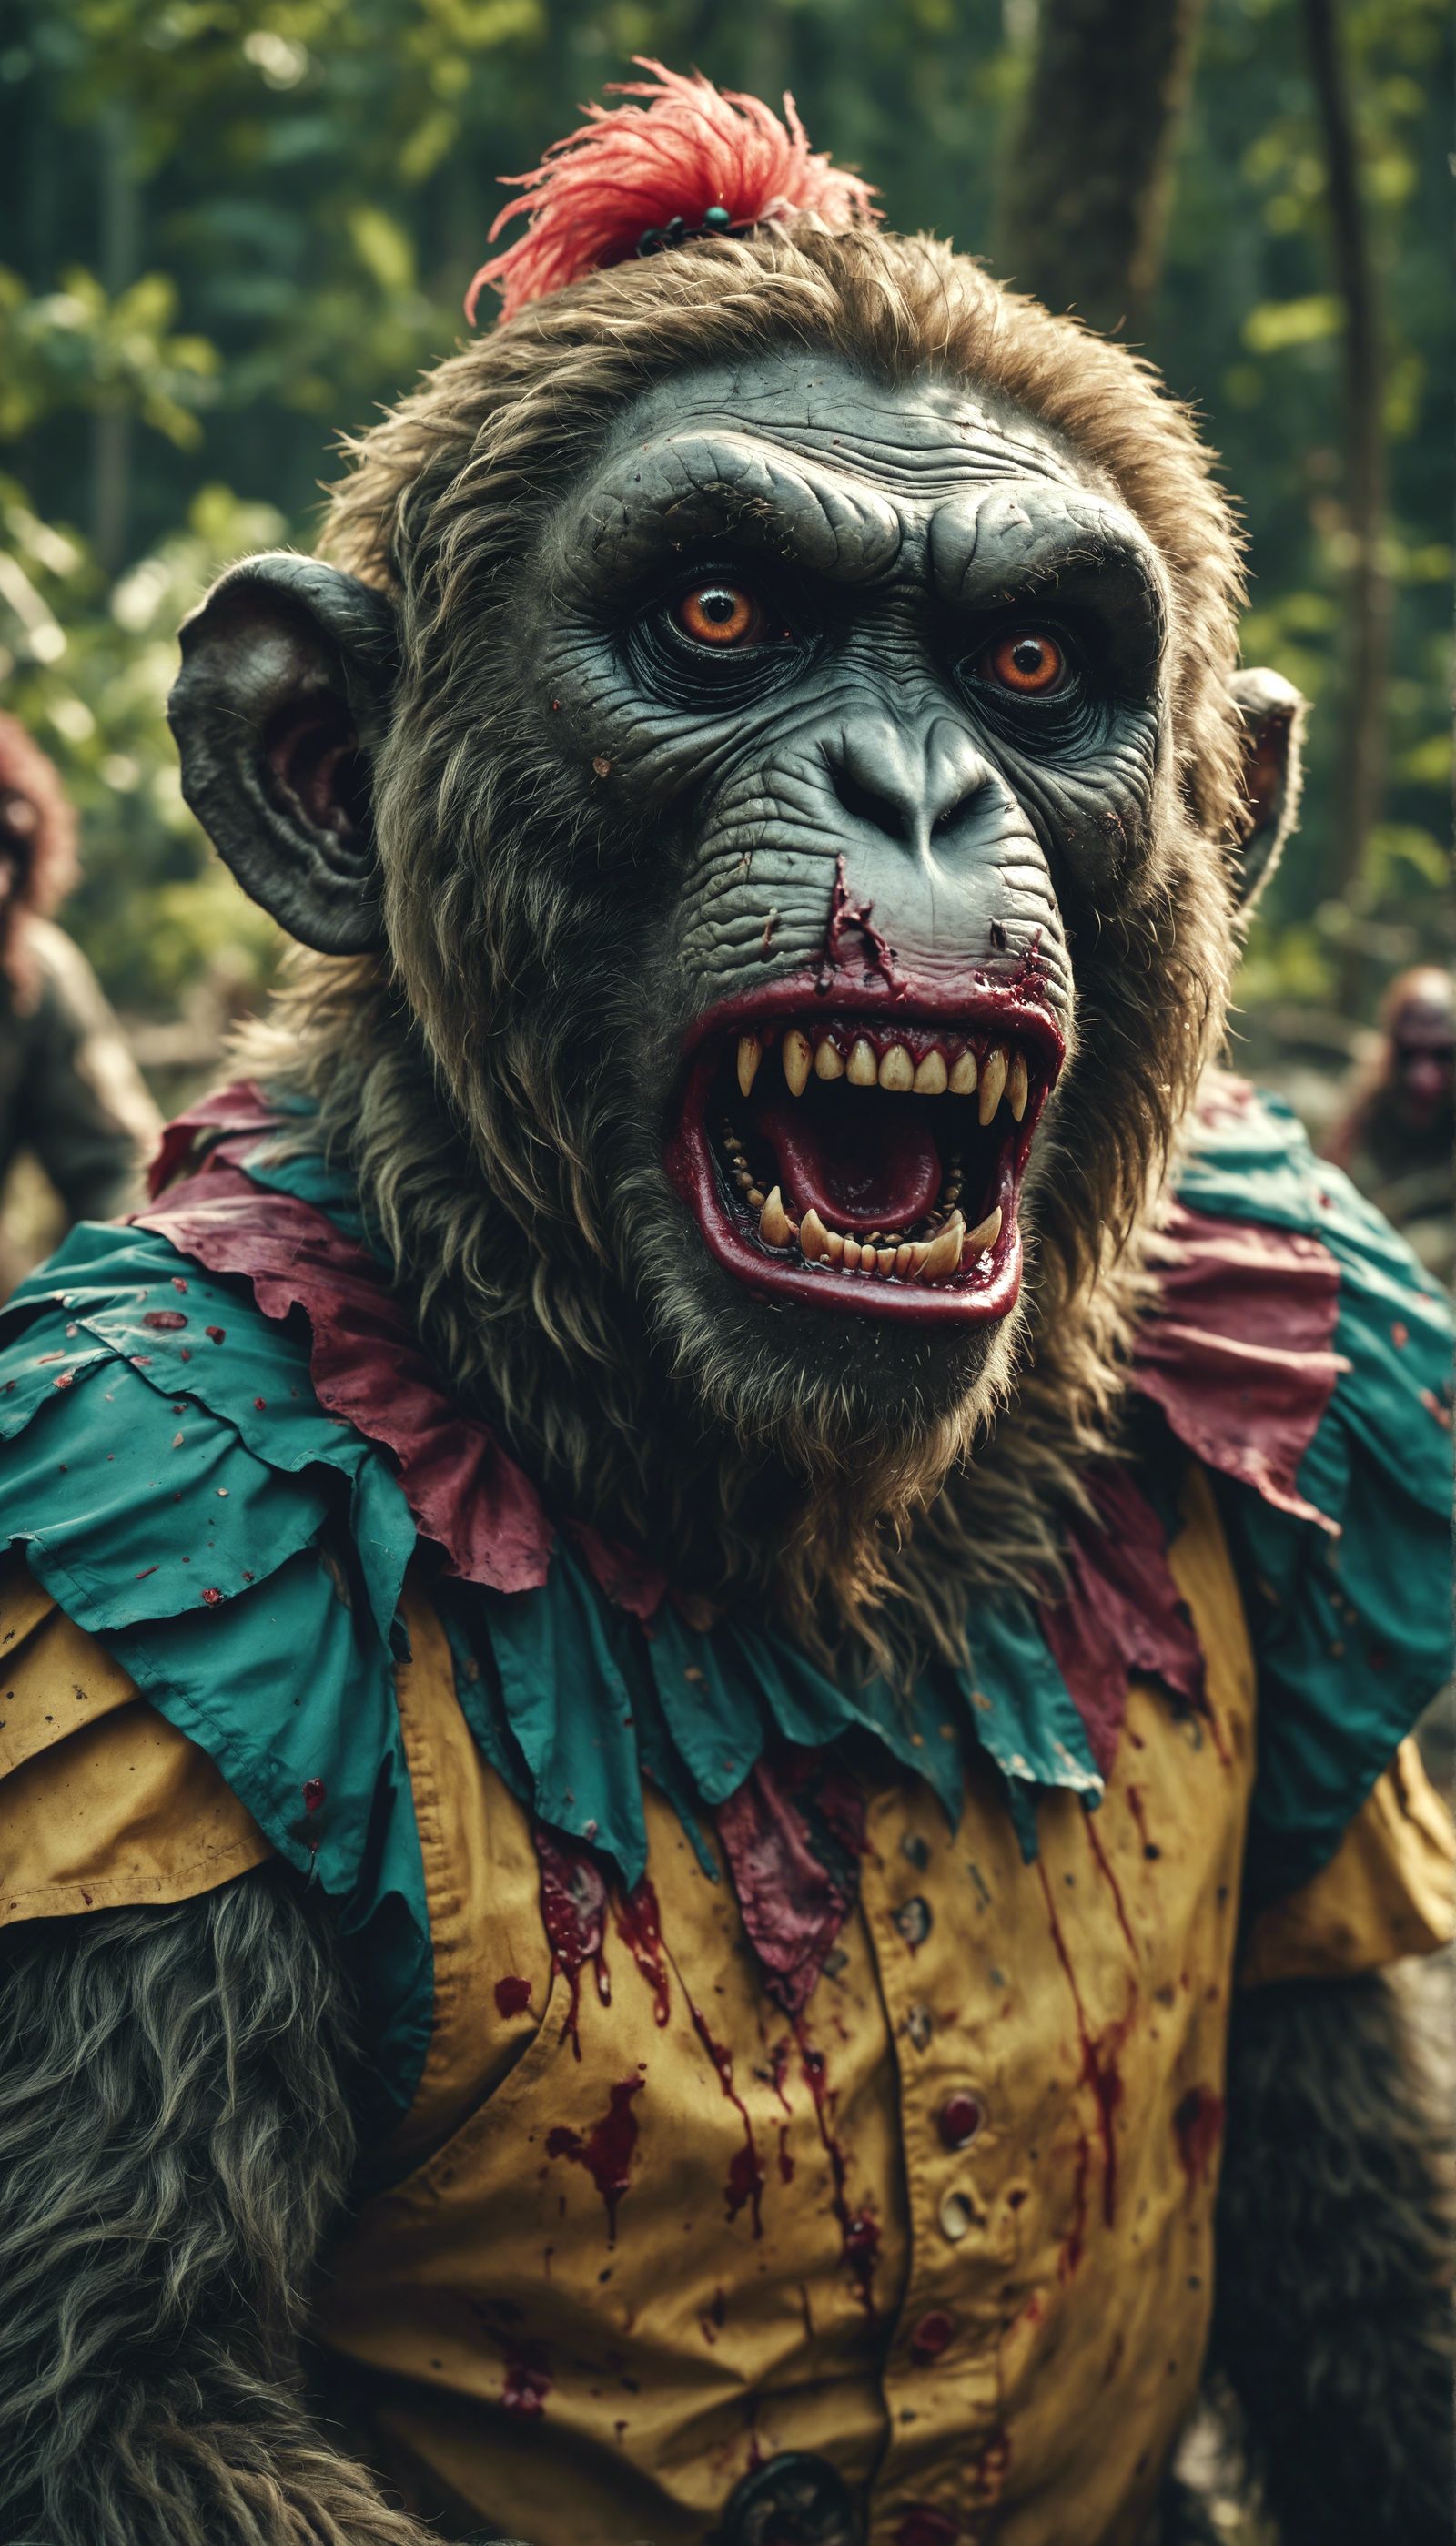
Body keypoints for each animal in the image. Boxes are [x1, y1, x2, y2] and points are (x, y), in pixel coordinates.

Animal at [0, 67, 1450, 2546]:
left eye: (1032, 667)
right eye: (716, 615)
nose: (913, 784)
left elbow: (1364, 2218)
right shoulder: (136, 1522)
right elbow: (119, 2382)